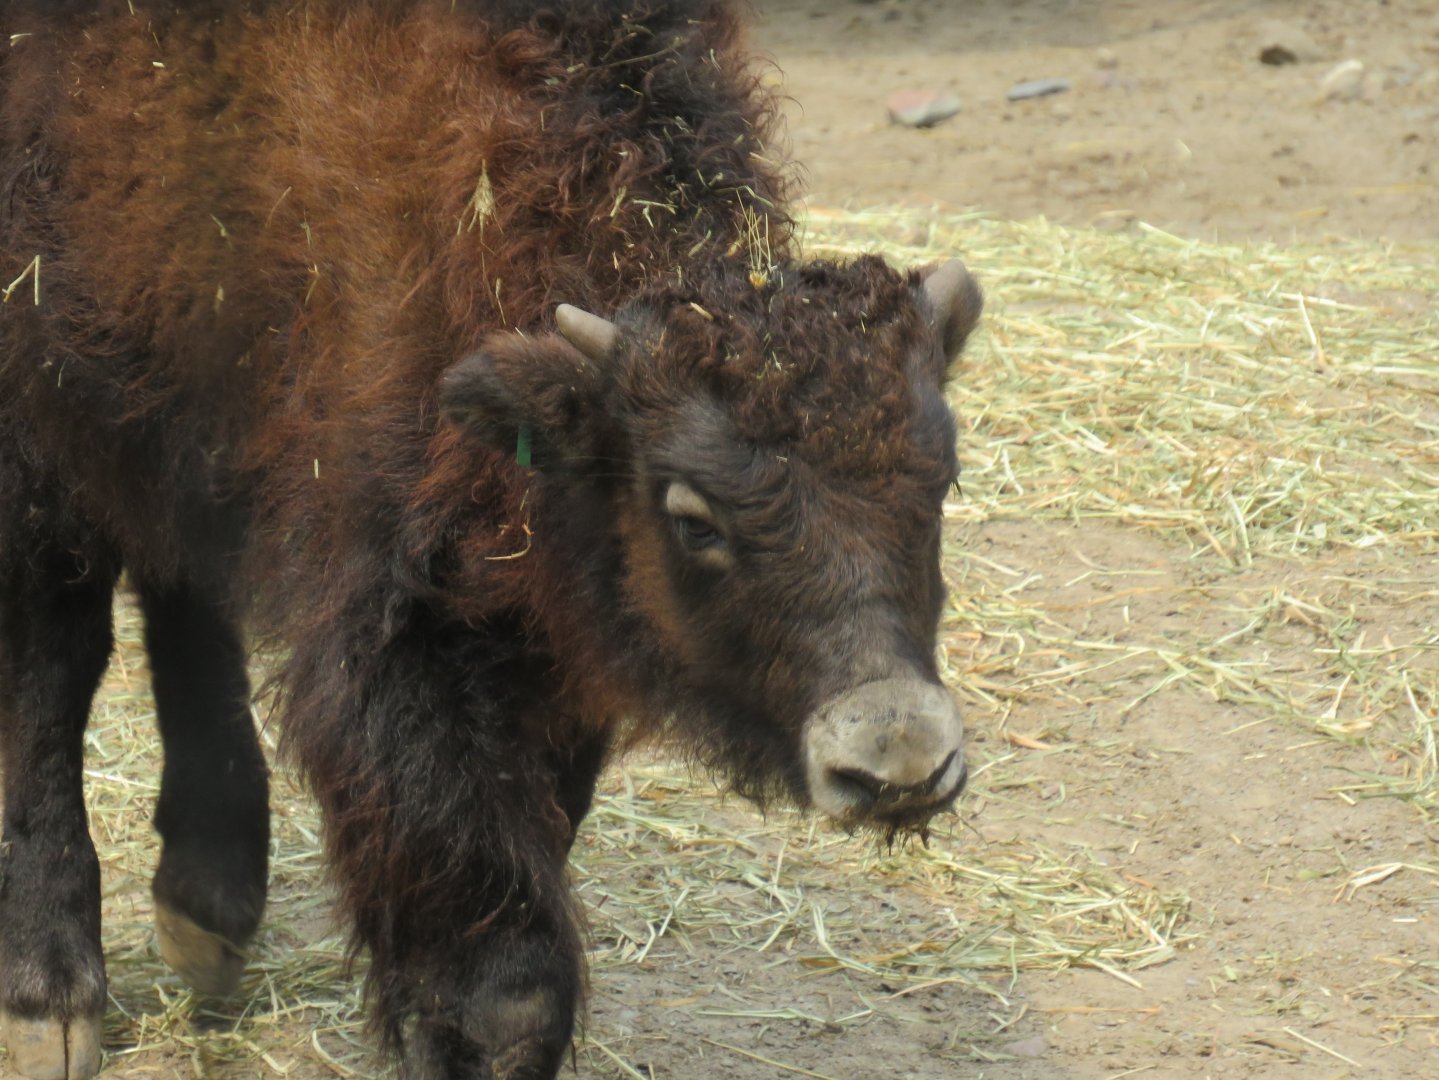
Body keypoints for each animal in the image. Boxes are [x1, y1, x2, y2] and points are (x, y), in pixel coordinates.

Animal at [0, 1, 982, 1077]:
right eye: (692, 517)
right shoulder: (396, 630)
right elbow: (501, 988)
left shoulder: (546, 636)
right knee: (57, 658)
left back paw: (207, 912)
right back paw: (50, 1002)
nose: (896, 761)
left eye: (943, 480)